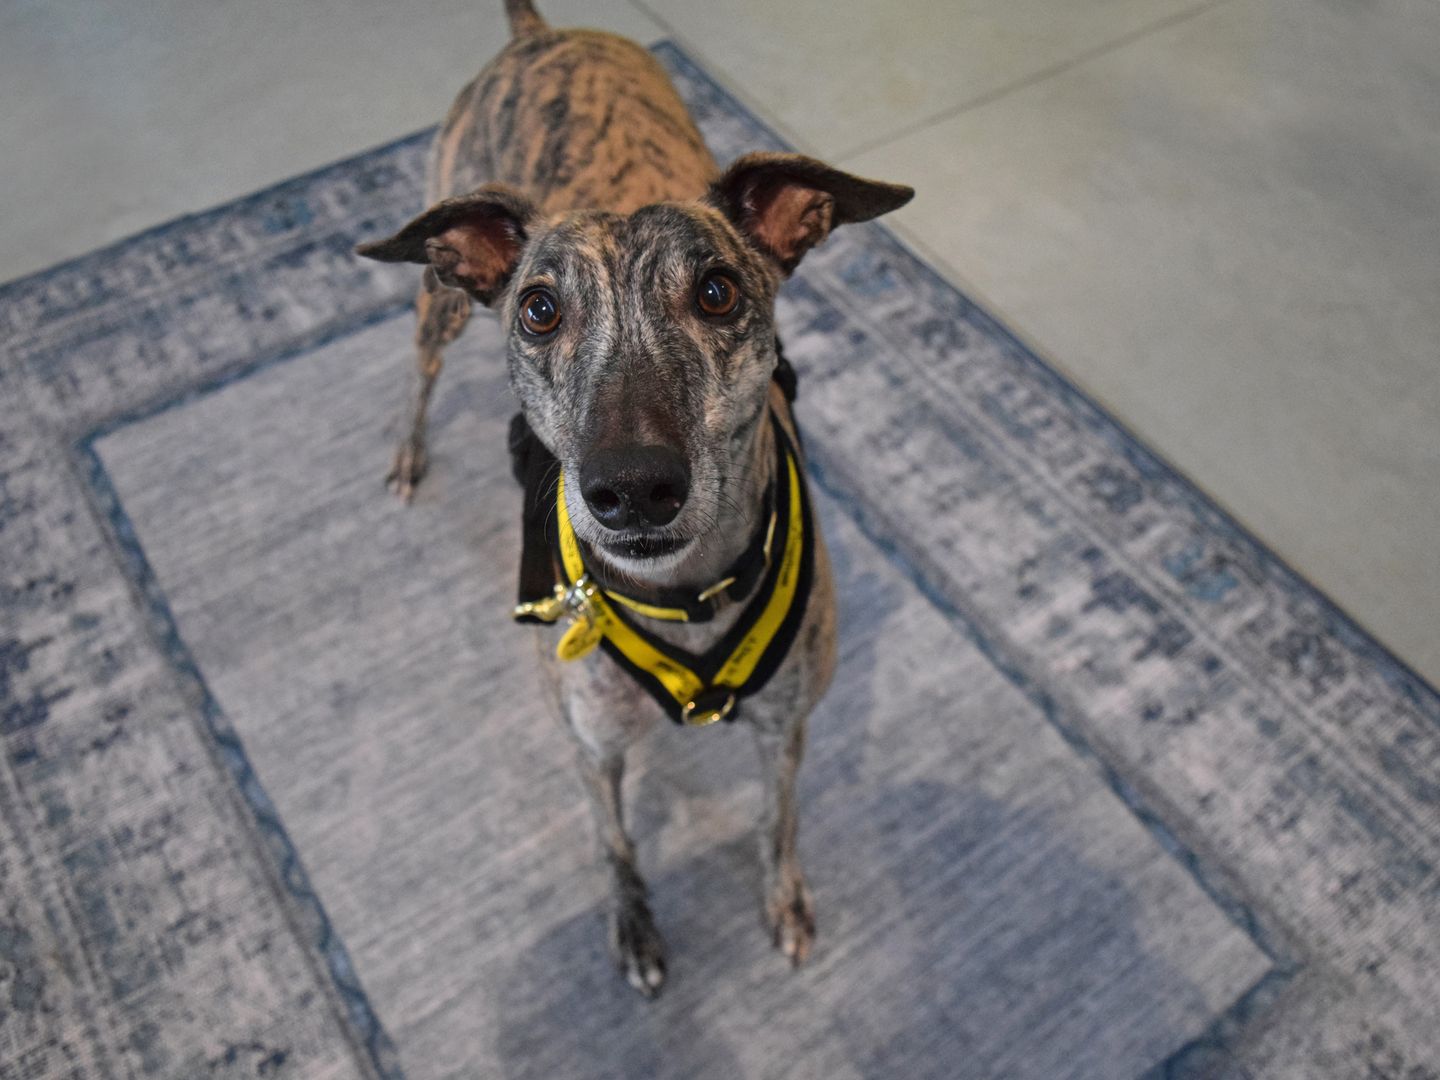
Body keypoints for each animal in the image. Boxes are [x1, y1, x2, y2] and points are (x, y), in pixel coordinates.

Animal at [352, 0, 904, 996]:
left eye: (718, 291)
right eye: (539, 308)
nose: (633, 489)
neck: (686, 600)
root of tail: (539, 33)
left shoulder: (786, 727)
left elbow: (780, 814)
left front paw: (785, 899)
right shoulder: (591, 743)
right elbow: (615, 842)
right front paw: (636, 930)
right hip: (437, 298)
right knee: (420, 370)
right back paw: (409, 456)